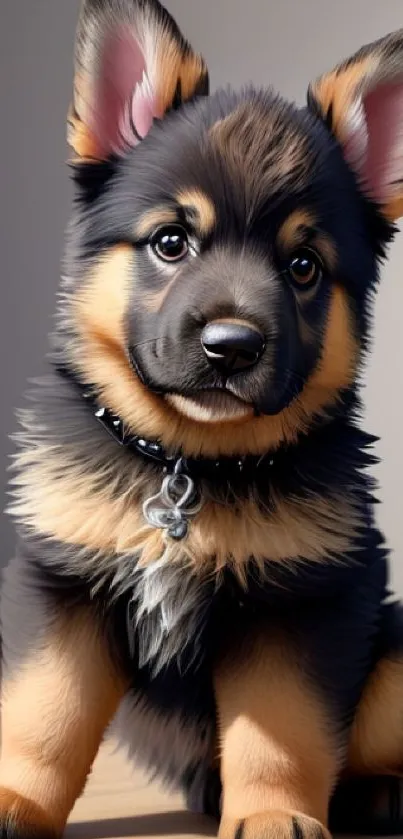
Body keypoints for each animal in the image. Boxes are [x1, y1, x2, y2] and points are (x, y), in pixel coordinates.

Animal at [2, 0, 403, 836]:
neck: (188, 462)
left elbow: (279, 731)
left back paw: (379, 791)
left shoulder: (303, 604)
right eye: (170, 241)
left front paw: (274, 812)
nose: (232, 346)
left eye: (303, 266)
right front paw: (16, 797)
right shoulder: (65, 583)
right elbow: (44, 713)